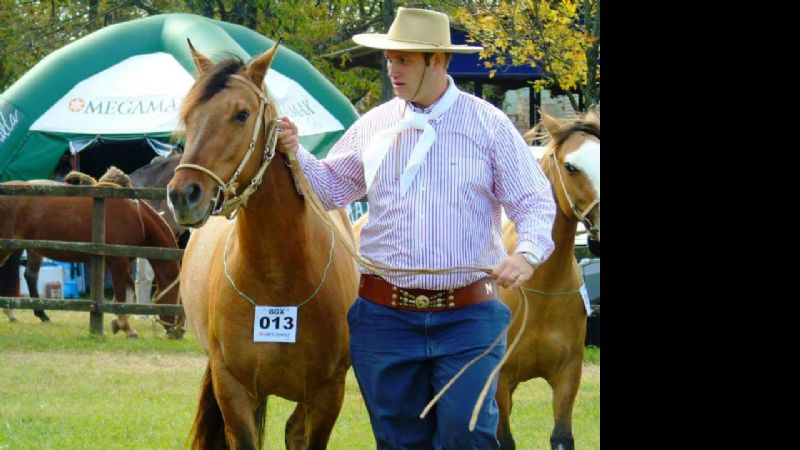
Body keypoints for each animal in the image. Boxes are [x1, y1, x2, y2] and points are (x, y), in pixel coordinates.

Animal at [0, 174, 183, 338]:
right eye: (179, 298)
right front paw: (127, 328)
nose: (178, 332)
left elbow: (127, 291)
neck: (134, 216)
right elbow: (122, 294)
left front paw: (117, 323)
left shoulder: (117, 262)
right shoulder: (118, 262)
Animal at [167, 41, 358, 449]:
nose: (183, 195)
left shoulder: (328, 393)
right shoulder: (233, 390)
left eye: (242, 114)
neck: (278, 279)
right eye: (189, 117)